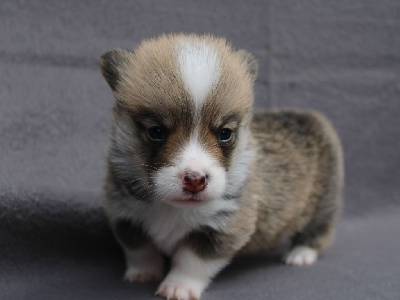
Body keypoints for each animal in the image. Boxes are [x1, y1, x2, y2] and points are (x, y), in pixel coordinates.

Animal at [100, 34, 344, 298]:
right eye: (156, 132)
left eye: (225, 134)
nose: (195, 180)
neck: (173, 208)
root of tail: (309, 116)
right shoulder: (125, 215)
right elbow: (139, 249)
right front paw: (142, 273)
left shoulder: (224, 227)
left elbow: (191, 261)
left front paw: (178, 286)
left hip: (324, 199)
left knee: (318, 228)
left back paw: (301, 254)